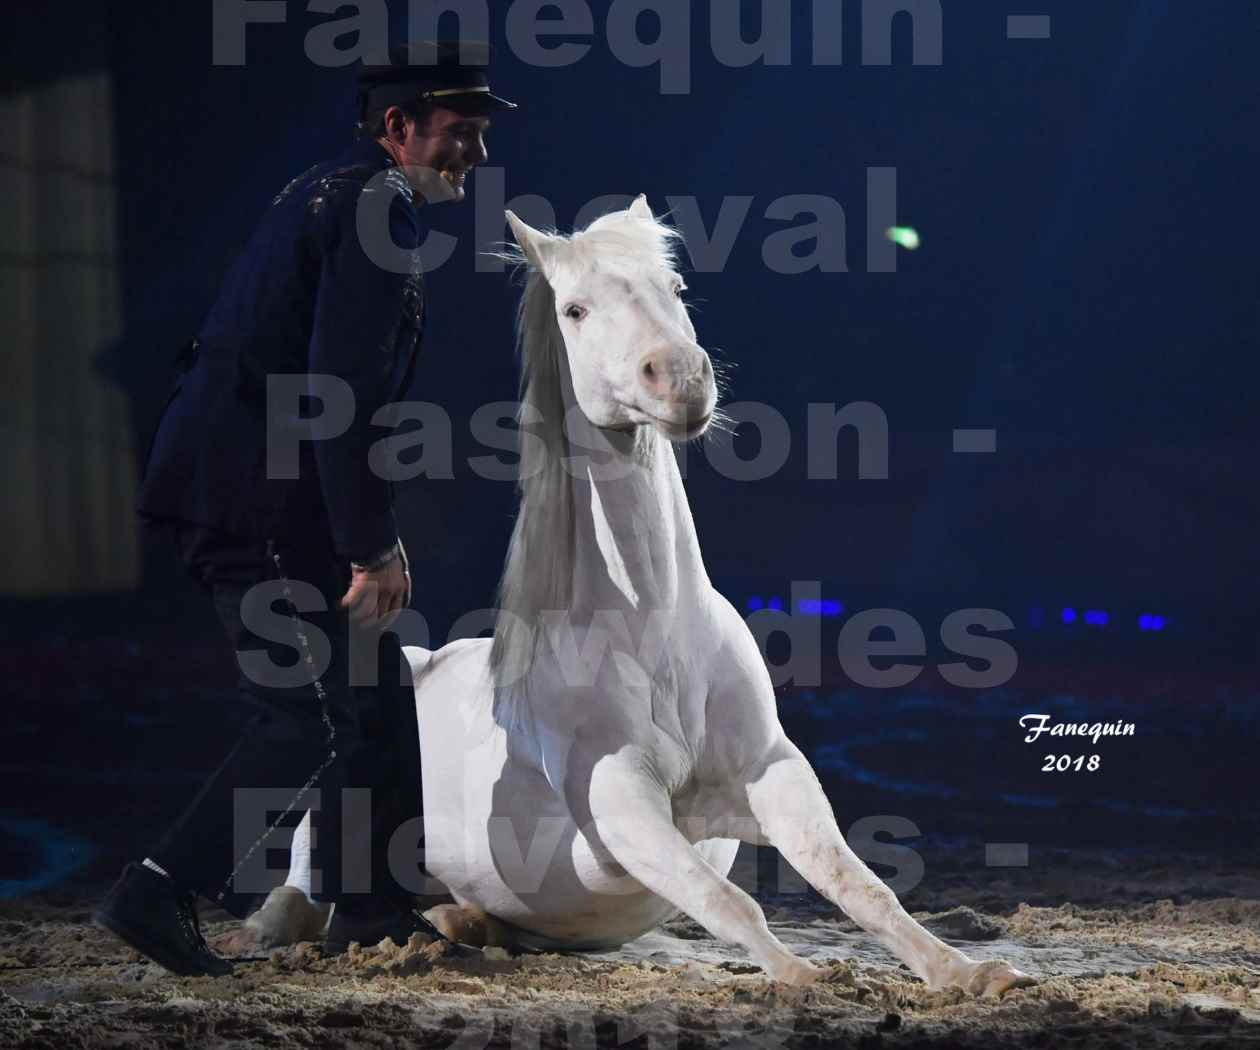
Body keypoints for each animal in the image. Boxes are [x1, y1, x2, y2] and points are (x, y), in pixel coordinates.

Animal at [243, 199, 1033, 998]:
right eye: (575, 309)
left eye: (676, 289)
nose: (679, 378)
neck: (654, 636)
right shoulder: (619, 800)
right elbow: (728, 900)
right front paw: (804, 977)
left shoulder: (771, 773)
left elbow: (858, 884)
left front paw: (971, 973)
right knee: (300, 890)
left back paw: (462, 922)